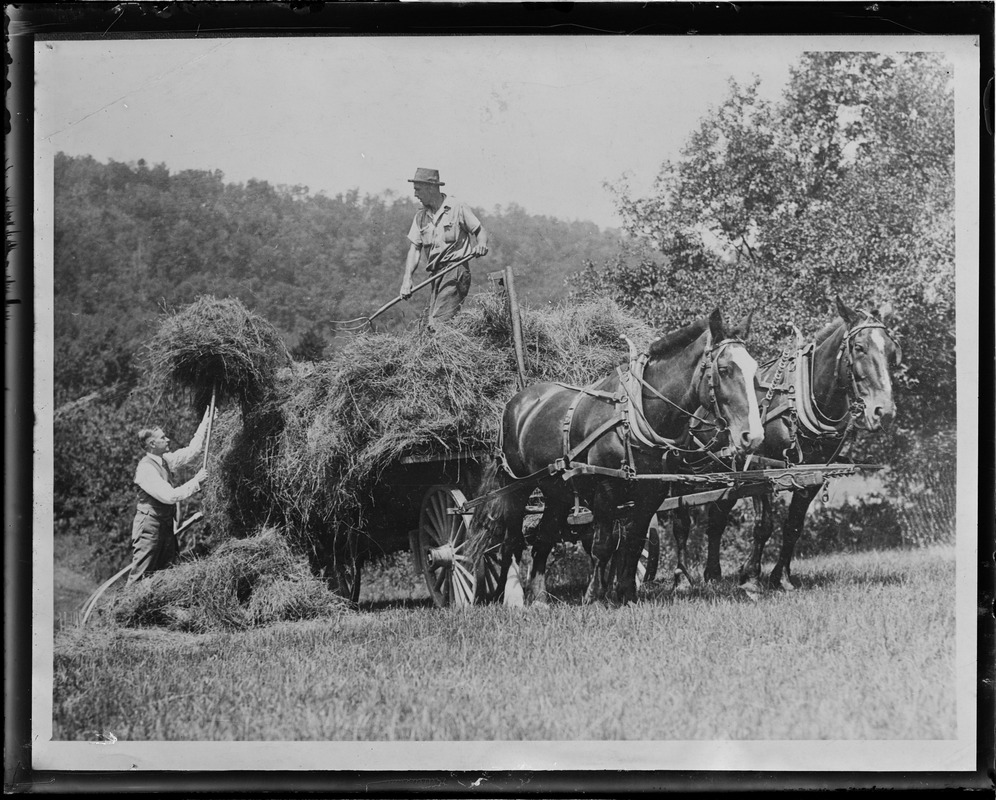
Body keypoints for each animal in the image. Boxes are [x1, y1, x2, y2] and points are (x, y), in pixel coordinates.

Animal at [482, 308, 764, 608]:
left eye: (754, 370)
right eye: (724, 370)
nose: (753, 436)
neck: (634, 417)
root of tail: (517, 401)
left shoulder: (651, 493)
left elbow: (633, 542)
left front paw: (627, 594)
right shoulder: (605, 491)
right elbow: (603, 545)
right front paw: (594, 596)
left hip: (555, 490)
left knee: (543, 540)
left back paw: (538, 597)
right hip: (516, 486)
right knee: (510, 541)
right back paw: (507, 596)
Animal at [672, 296, 900, 592]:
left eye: (892, 352)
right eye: (859, 347)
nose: (884, 411)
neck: (797, 399)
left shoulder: (811, 474)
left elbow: (793, 525)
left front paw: (781, 577)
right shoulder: (760, 470)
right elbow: (764, 525)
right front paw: (751, 577)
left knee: (716, 519)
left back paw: (712, 573)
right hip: (679, 471)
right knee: (681, 521)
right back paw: (681, 578)